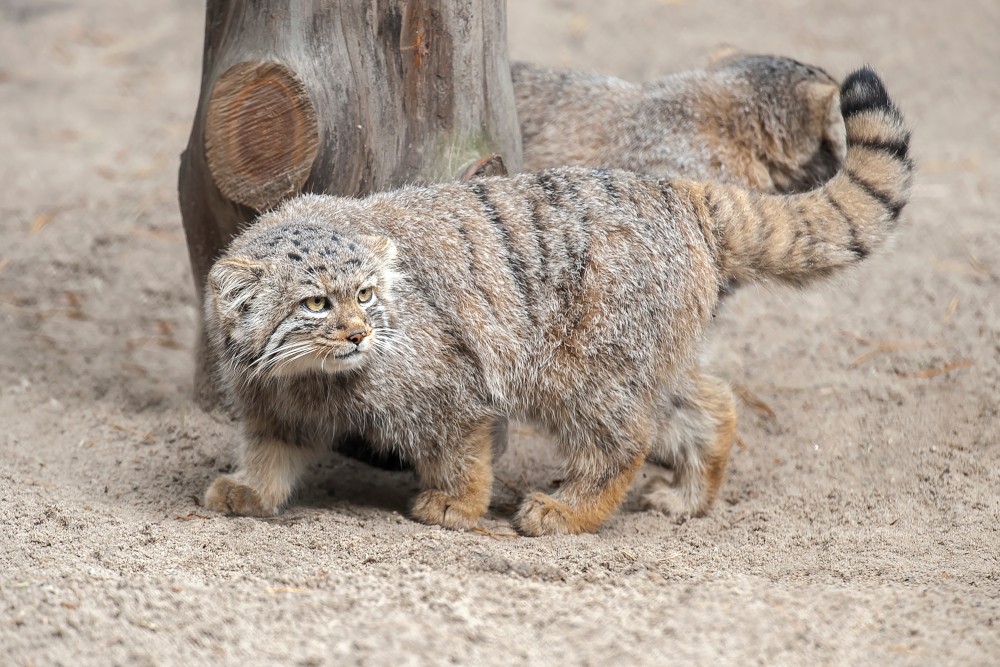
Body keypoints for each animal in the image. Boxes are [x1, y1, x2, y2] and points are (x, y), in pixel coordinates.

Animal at [203, 69, 916, 536]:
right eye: (315, 304)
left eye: (365, 295)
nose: (358, 335)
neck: (311, 377)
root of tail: (679, 191)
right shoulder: (275, 405)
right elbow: (272, 452)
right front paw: (252, 489)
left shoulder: (447, 384)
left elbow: (461, 449)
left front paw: (457, 505)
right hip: (641, 355)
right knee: (710, 399)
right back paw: (692, 494)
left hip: (576, 367)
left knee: (624, 440)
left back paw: (571, 509)